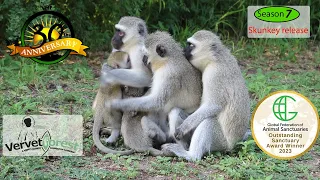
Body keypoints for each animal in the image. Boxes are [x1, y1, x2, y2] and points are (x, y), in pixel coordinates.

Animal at [162, 30, 250, 161]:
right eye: (188, 44)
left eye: (191, 45)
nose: (183, 49)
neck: (214, 59)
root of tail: (235, 143)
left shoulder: (215, 75)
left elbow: (213, 105)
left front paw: (185, 126)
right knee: (175, 111)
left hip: (221, 142)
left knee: (208, 122)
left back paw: (191, 155)